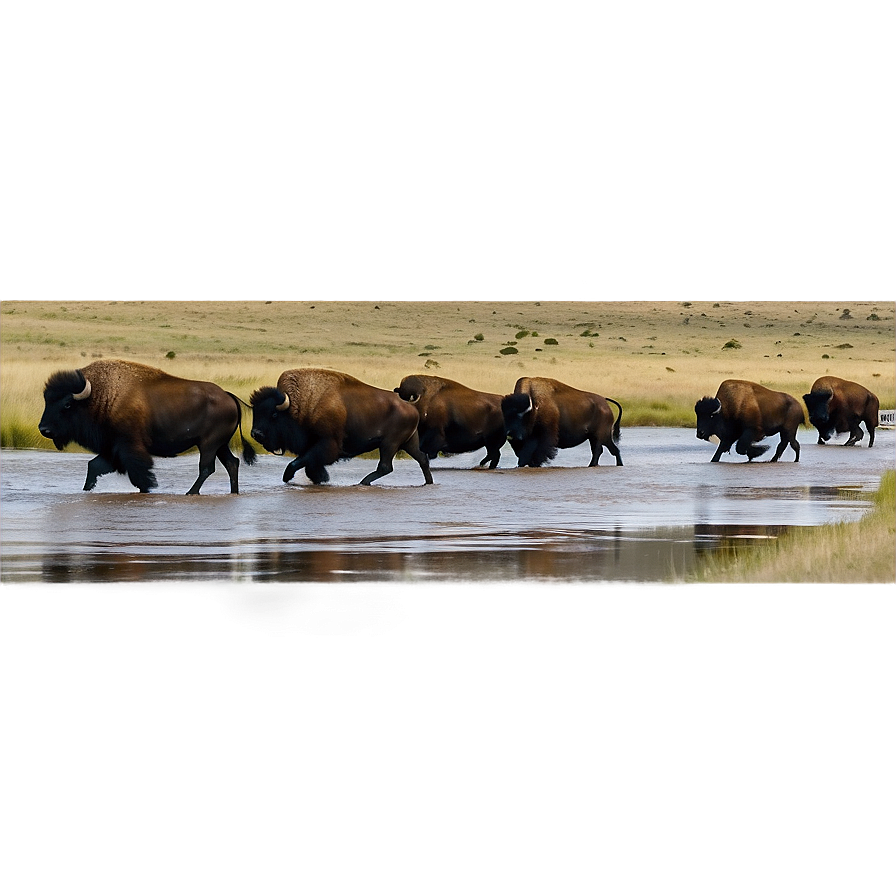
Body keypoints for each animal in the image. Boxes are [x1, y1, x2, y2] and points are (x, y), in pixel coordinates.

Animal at [38, 358, 256, 496]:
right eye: (47, 400)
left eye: (67, 404)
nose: (44, 429)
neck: (100, 397)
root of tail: (228, 395)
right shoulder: (112, 449)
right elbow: (94, 466)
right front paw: (86, 489)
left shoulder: (129, 448)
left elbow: (140, 474)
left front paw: (148, 489)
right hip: (221, 445)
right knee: (232, 463)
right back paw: (233, 492)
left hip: (209, 444)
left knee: (207, 468)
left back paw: (190, 492)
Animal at [252, 368, 434, 486]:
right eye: (255, 411)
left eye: (273, 415)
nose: (255, 434)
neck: (300, 406)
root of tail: (410, 406)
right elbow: (309, 465)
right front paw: (322, 479)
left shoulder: (326, 444)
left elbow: (298, 462)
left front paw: (288, 477)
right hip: (408, 442)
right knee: (422, 459)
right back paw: (428, 483)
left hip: (389, 444)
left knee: (385, 466)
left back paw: (362, 483)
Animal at [496, 376, 624, 468]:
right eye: (505, 417)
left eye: (520, 417)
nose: (510, 433)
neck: (534, 407)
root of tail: (605, 402)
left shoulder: (544, 437)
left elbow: (535, 453)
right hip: (597, 437)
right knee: (610, 450)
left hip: (600, 435)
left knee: (600, 450)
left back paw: (595, 465)